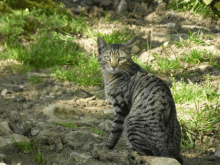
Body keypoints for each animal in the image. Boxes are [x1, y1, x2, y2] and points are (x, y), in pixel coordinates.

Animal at [97, 36, 183, 164]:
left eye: (121, 59)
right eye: (107, 58)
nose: (113, 66)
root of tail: (170, 150)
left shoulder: (121, 106)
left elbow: (115, 129)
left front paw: (109, 145)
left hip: (130, 121)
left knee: (147, 153)